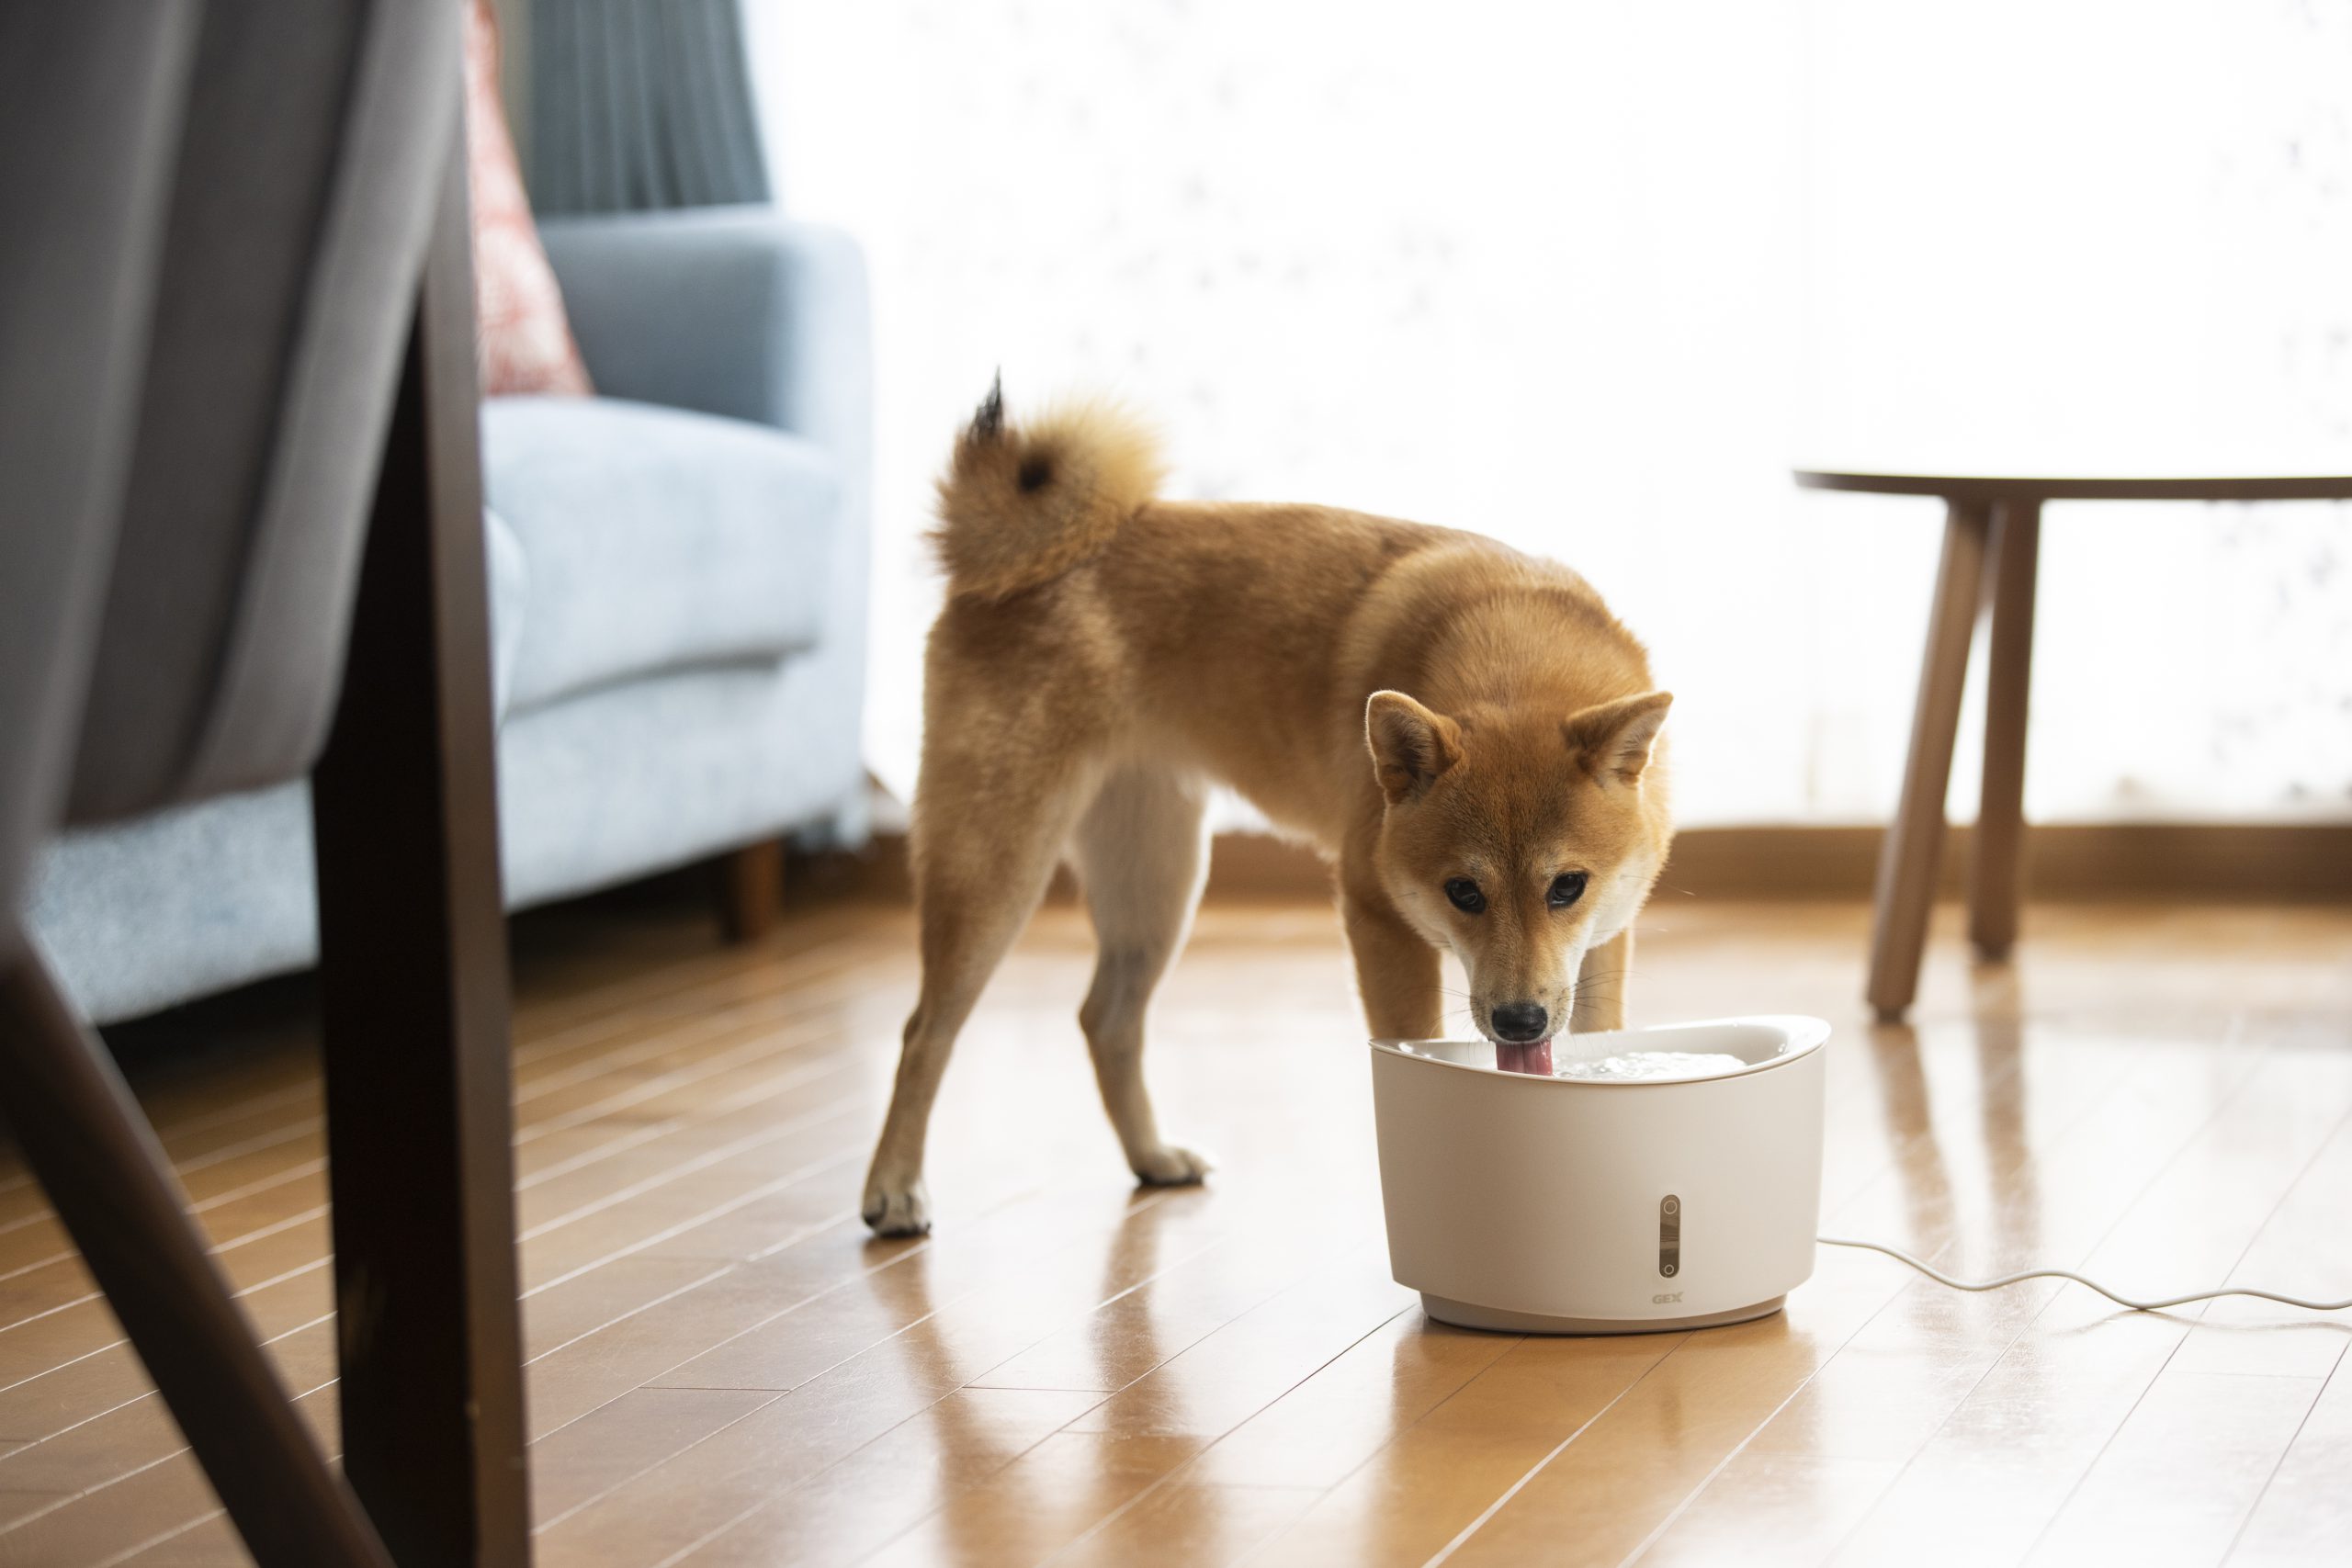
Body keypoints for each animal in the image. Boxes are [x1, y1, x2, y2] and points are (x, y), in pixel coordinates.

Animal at [865, 383, 1674, 1241]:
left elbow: (1601, 1035)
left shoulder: (1604, 940)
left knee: (1105, 1019)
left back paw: (1152, 1155)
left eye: (1567, 887)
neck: (1516, 661)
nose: (1520, 1021)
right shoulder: (1377, 916)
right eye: (1464, 892)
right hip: (997, 864)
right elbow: (1418, 1044)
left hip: (1156, 881)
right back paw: (894, 1187)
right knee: (924, 1030)